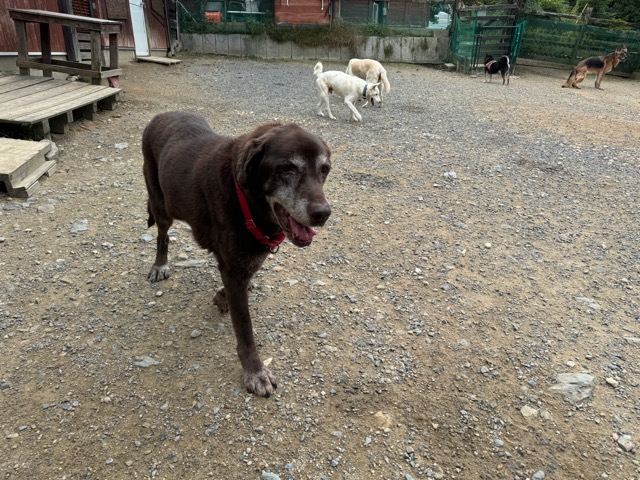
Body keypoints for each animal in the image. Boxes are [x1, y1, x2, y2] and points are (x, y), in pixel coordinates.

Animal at [142, 111, 332, 397]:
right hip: (161, 204)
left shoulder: (246, 258)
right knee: (162, 235)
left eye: (324, 170)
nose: (323, 213)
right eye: (287, 168)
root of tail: (160, 116)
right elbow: (245, 329)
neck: (245, 198)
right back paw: (159, 265)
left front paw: (223, 296)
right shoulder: (233, 269)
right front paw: (255, 371)